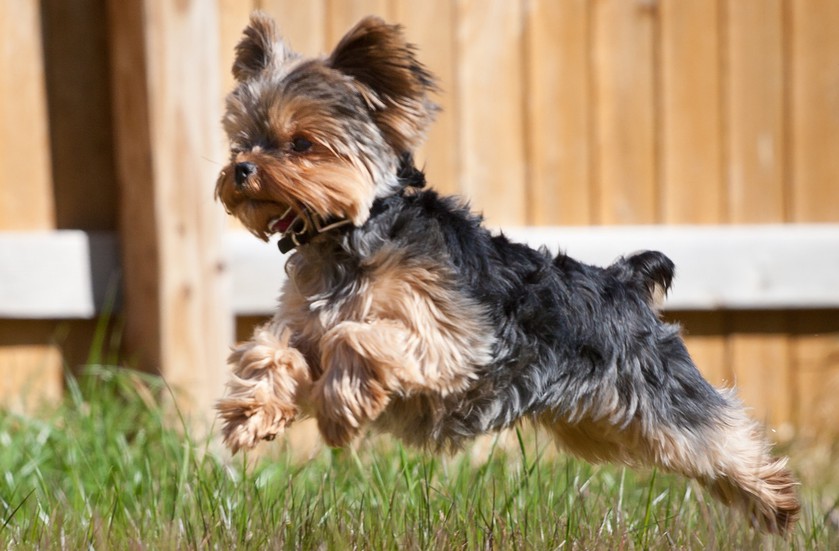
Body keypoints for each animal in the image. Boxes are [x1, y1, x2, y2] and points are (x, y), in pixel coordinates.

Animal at [215, 12, 800, 536]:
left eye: (301, 144)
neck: (349, 232)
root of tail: (626, 281)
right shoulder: (305, 324)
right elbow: (273, 348)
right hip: (602, 422)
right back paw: (762, 506)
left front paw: (341, 406)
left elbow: (357, 336)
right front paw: (250, 412)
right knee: (687, 451)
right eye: (243, 139)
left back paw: (778, 499)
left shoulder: (453, 340)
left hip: (656, 385)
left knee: (714, 431)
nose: (241, 168)